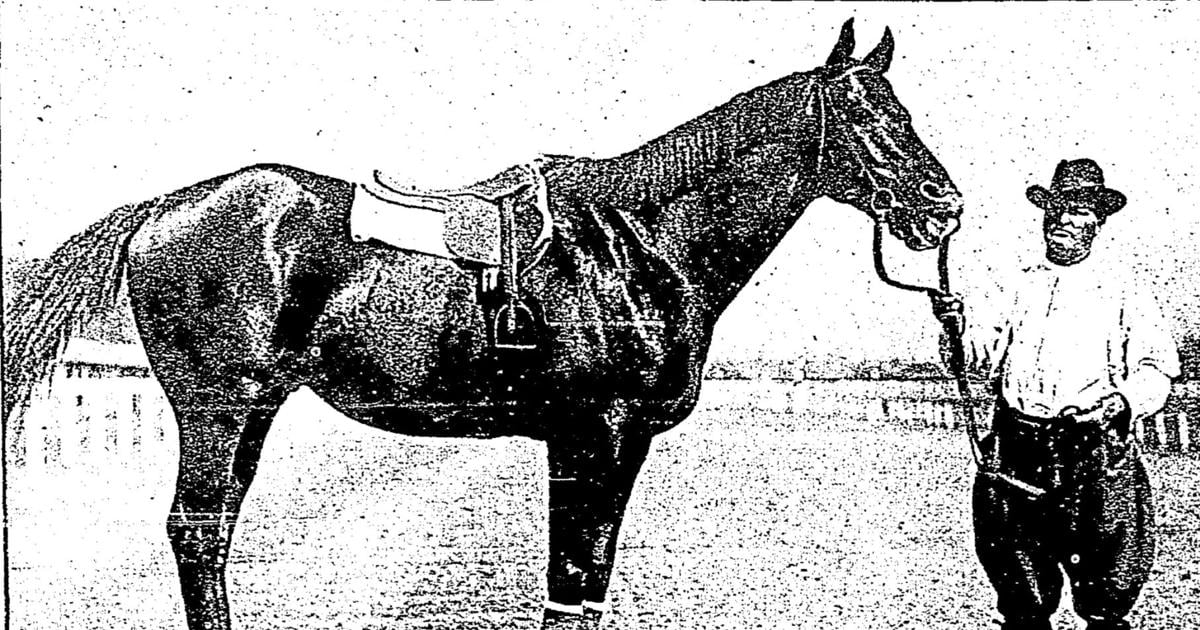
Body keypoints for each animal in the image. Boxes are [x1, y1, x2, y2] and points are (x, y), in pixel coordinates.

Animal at [3, 19, 962, 630]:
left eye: (906, 112)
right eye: (868, 119)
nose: (943, 207)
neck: (634, 242)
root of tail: (163, 208)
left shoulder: (616, 449)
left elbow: (589, 585)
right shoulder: (590, 438)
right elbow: (569, 584)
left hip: (253, 414)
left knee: (213, 532)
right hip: (215, 410)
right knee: (197, 533)